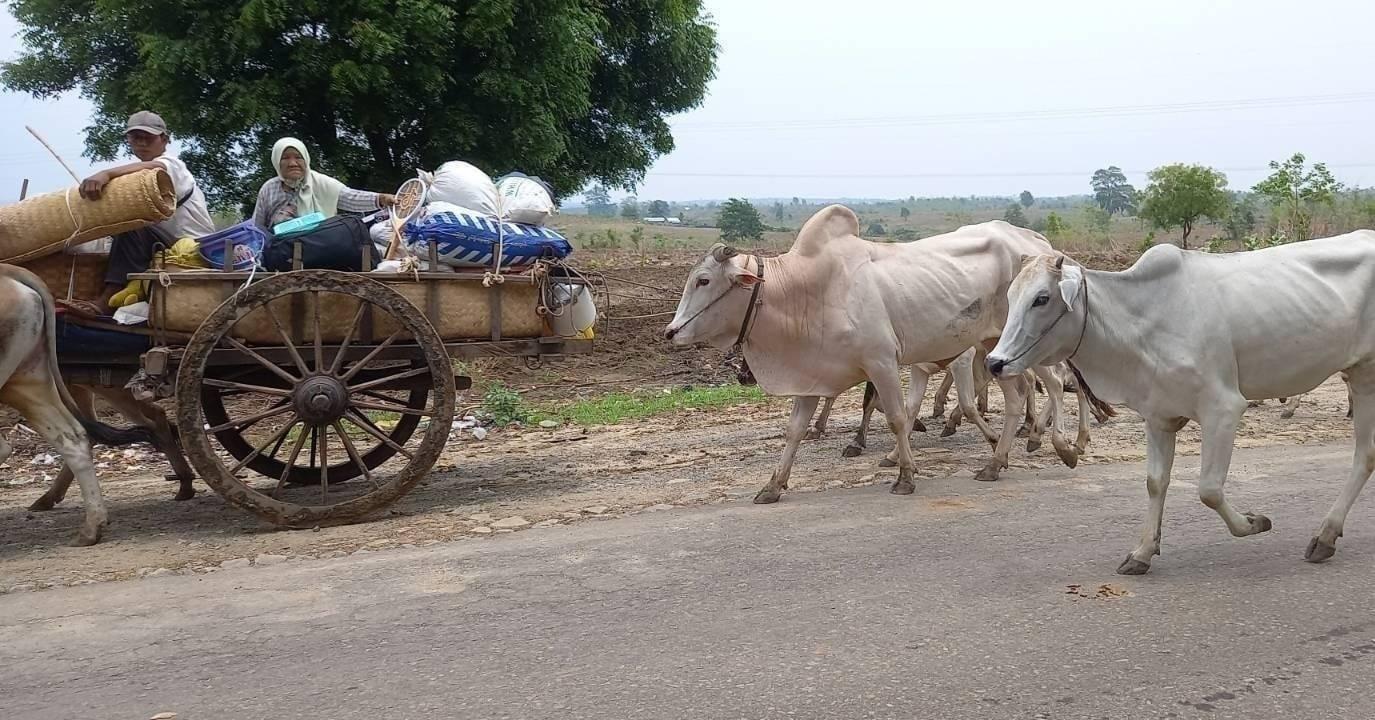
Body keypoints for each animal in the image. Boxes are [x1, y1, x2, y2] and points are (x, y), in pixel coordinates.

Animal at [665, 204, 1083, 502]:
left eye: (704, 280)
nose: (671, 331)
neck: (805, 289)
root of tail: (1040, 245)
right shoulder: (811, 375)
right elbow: (795, 430)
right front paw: (773, 485)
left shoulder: (881, 362)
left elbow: (898, 417)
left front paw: (905, 476)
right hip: (994, 347)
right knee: (1018, 395)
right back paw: (997, 461)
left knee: (1055, 383)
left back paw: (1058, 444)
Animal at [990, 236, 1375, 574]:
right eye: (1010, 296)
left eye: (1042, 298)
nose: (995, 362)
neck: (1140, 323)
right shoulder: (1158, 416)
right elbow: (1155, 482)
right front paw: (1143, 552)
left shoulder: (1223, 409)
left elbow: (1209, 490)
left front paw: (1253, 522)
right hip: (1360, 376)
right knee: (1366, 455)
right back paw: (1326, 537)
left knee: (1363, 454)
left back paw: (1324, 535)